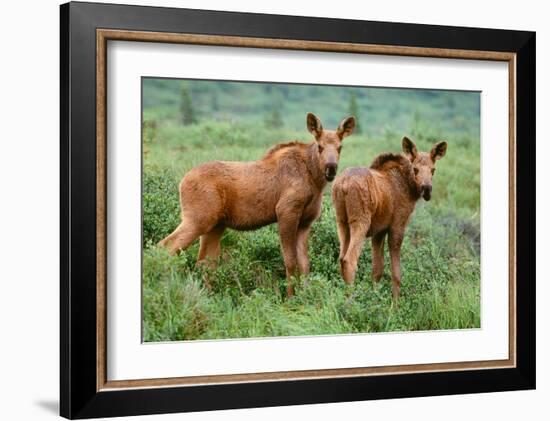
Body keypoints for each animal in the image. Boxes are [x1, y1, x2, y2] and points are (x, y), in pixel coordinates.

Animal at [160, 111, 358, 296]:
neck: (314, 181)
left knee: (205, 262)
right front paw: (290, 299)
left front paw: (306, 296)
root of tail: (181, 182)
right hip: (198, 219)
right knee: (166, 247)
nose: (331, 168)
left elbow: (305, 264)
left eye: (340, 147)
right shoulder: (286, 212)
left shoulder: (306, 222)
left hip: (215, 226)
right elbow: (290, 260)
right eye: (320, 146)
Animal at [332, 136, 448, 300]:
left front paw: (376, 298)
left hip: (341, 222)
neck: (409, 187)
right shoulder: (397, 226)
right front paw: (395, 304)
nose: (426, 189)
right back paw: (351, 300)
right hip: (360, 222)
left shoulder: (379, 231)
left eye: (433, 170)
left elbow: (377, 270)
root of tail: (343, 184)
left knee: (341, 258)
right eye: (415, 169)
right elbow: (396, 273)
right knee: (350, 260)